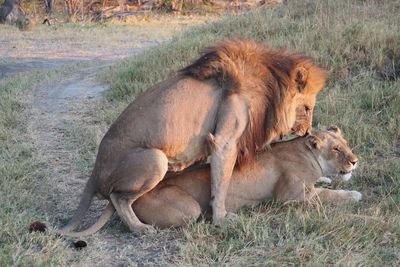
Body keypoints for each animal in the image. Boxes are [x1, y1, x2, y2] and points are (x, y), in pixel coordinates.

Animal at [61, 39, 326, 234]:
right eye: (307, 109)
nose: (307, 132)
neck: (268, 83)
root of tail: (95, 172)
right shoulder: (224, 141)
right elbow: (220, 184)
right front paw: (221, 219)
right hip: (155, 158)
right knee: (117, 197)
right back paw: (140, 229)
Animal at [61, 126, 360, 238]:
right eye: (336, 150)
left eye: (346, 143)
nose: (356, 161)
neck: (306, 151)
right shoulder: (289, 196)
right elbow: (327, 194)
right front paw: (354, 195)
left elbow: (324, 183)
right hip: (186, 208)